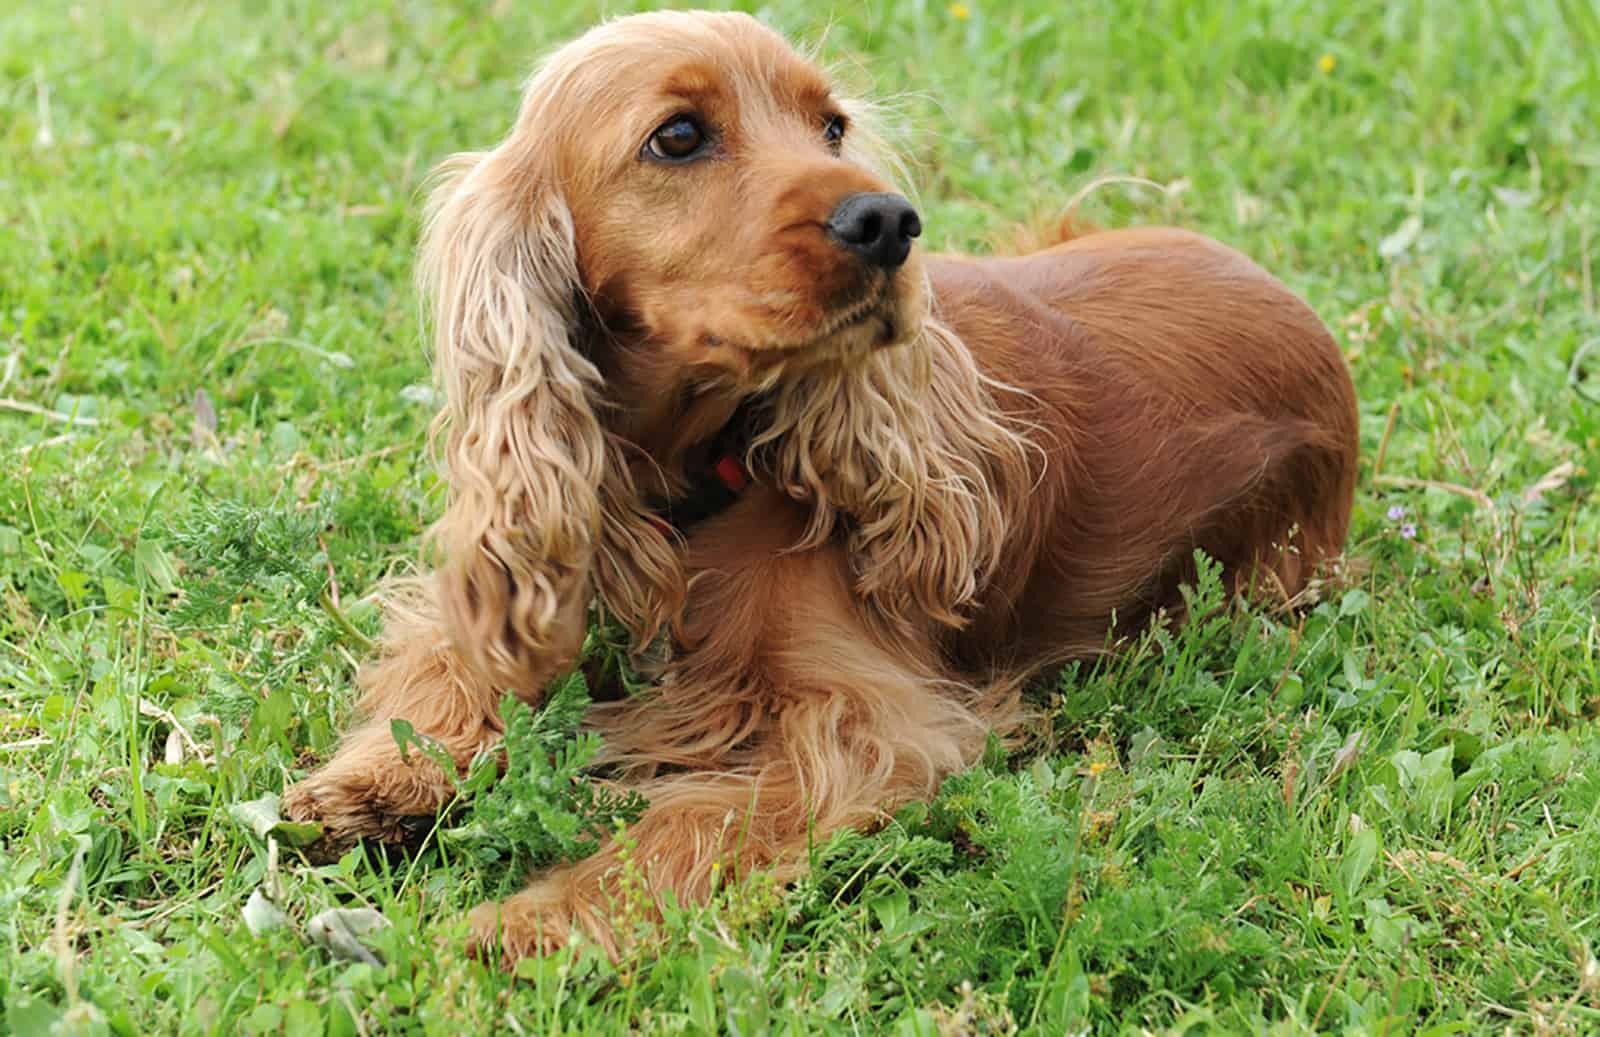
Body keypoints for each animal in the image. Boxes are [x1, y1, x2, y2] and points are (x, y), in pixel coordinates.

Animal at [281, 10, 1356, 966]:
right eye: (678, 136)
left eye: (831, 126)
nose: (888, 221)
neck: (686, 480)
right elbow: (451, 662)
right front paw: (372, 779)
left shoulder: (865, 725)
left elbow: (693, 821)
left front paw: (534, 922)